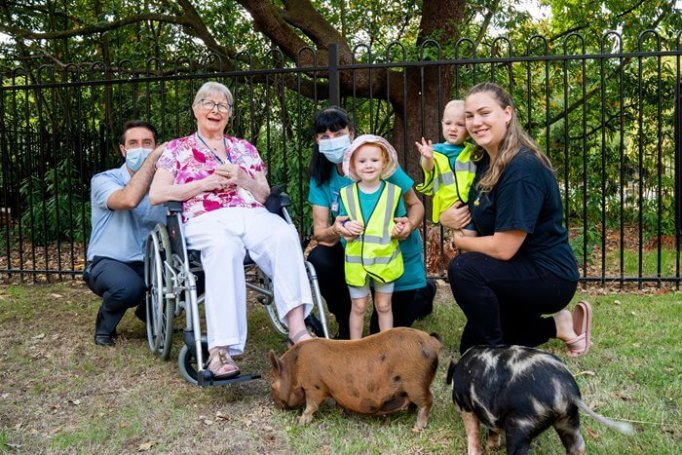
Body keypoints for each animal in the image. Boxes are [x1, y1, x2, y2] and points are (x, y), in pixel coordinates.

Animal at [444, 348, 628, 454]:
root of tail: (565, 390)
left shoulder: (465, 405)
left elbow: (472, 431)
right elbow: (492, 429)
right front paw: (492, 448)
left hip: (521, 424)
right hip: (568, 418)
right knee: (577, 445)